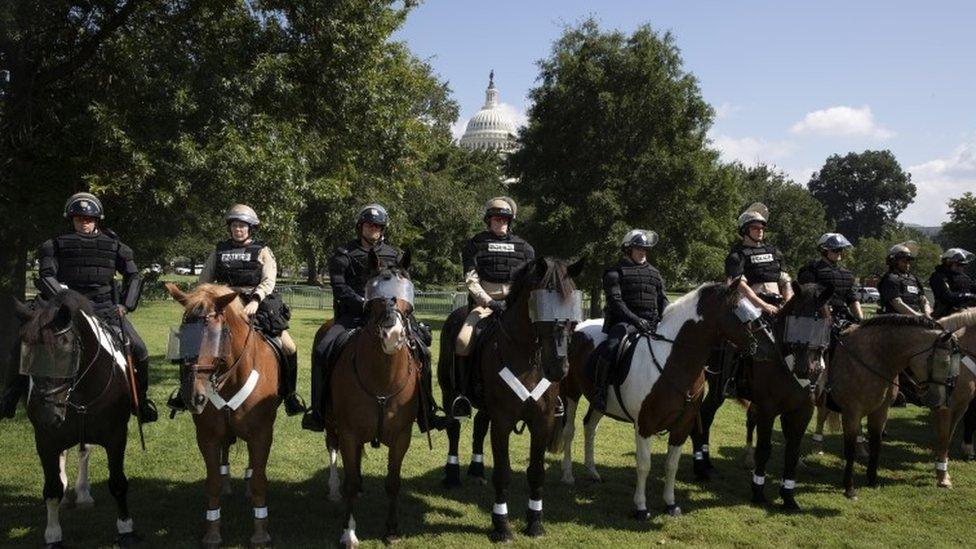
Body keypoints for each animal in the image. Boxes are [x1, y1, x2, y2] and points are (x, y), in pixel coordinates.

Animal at [13, 288, 137, 544]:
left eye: (66, 350)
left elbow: (118, 482)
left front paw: (125, 528)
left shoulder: (116, 436)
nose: (45, 415)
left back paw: (83, 494)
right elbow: (51, 489)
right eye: (26, 352)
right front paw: (53, 535)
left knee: (83, 451)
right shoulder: (46, 440)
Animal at [165, 282, 282, 548]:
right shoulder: (207, 436)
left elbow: (260, 481)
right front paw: (212, 531)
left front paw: (260, 532)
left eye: (215, 336)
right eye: (182, 335)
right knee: (226, 449)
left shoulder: (262, 435)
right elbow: (212, 483)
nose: (193, 396)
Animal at [324, 250, 424, 544]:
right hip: (331, 423)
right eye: (375, 301)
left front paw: (391, 530)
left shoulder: (402, 436)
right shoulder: (348, 432)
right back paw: (334, 490)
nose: (393, 335)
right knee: (333, 448)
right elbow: (349, 481)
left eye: (408, 302)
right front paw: (348, 532)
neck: (381, 379)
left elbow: (393, 482)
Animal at [560, 280, 760, 516]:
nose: (756, 345)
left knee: (590, 426)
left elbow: (671, 465)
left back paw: (592, 471)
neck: (671, 362)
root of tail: (578, 327)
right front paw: (640, 507)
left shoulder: (682, 427)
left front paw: (670, 503)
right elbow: (644, 465)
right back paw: (567, 475)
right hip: (571, 393)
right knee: (569, 430)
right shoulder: (645, 425)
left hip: (600, 403)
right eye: (736, 308)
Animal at [692, 282, 836, 510]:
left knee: (705, 417)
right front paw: (758, 491)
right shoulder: (767, 409)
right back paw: (701, 465)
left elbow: (792, 451)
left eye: (824, 322)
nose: (807, 369)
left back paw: (706, 464)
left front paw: (788, 496)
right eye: (795, 319)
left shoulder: (802, 410)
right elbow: (764, 449)